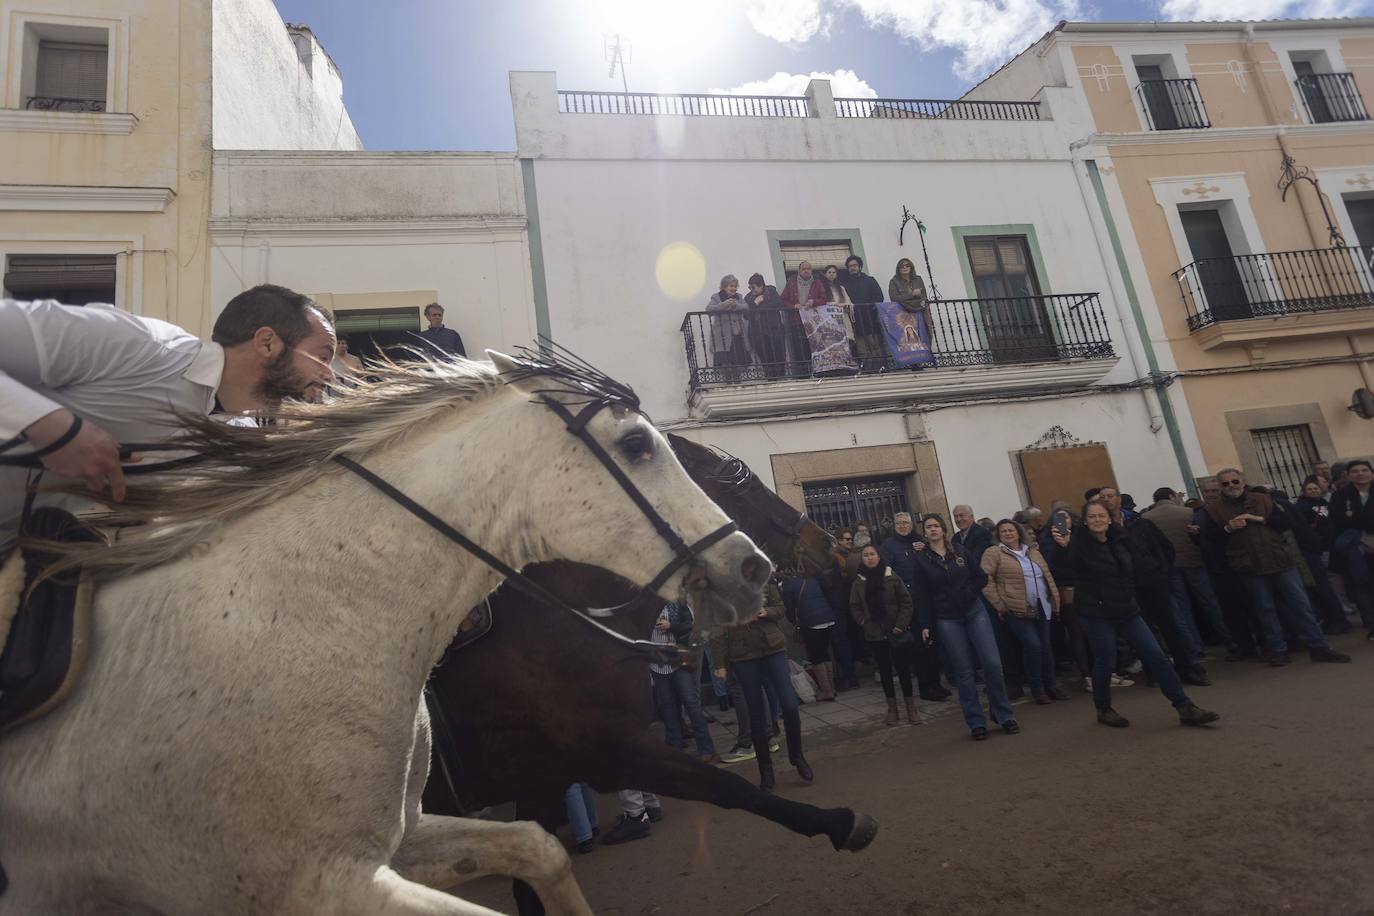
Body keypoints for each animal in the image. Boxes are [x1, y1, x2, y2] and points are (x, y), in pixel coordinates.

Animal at [0, 347, 774, 911]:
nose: (756, 566)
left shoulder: (409, 835)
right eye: (639, 445)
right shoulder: (321, 880)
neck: (305, 615)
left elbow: (539, 850)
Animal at [417, 436, 873, 916]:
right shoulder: (614, 753)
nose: (827, 543)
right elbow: (731, 788)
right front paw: (839, 822)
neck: (565, 616)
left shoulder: (547, 777)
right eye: (744, 485)